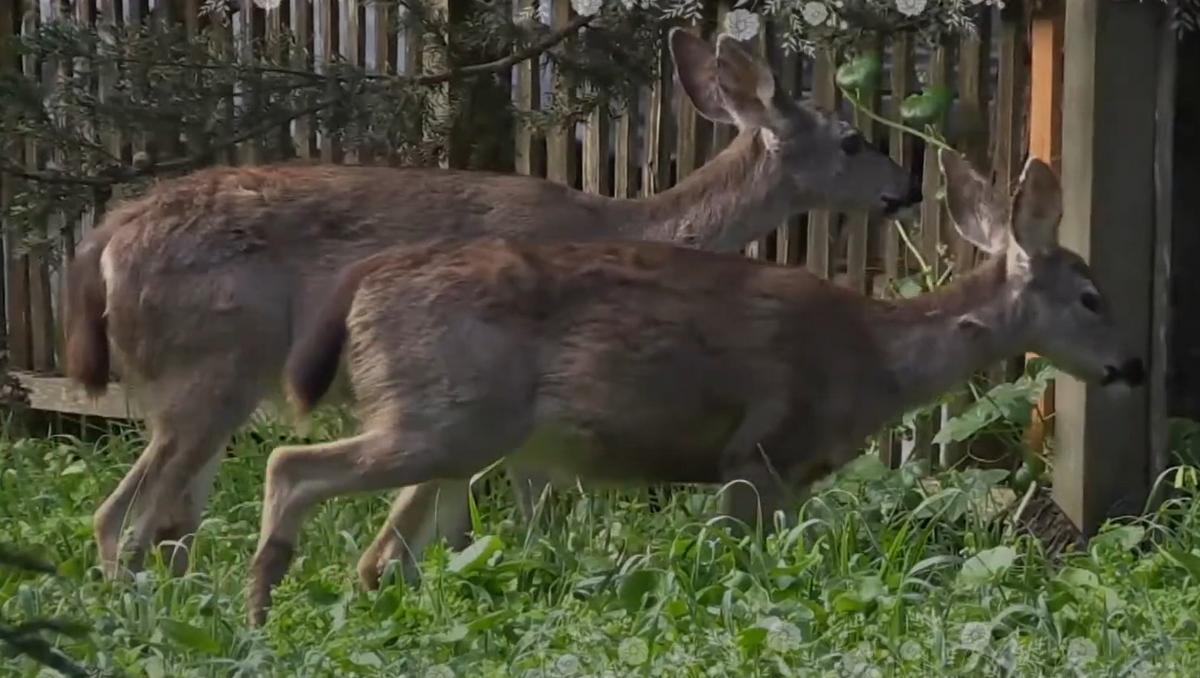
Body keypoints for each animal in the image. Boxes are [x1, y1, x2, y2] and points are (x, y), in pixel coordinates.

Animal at [63, 27, 916, 588]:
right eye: (852, 140)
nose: (905, 189)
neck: (623, 221)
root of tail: (99, 247)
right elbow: (528, 501)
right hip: (212, 364)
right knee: (118, 517)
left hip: (211, 383)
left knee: (167, 521)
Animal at [246, 150, 1142, 628]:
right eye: (1092, 297)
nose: (1131, 367)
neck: (876, 358)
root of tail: (362, 287)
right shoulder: (758, 455)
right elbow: (740, 573)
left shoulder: (788, 479)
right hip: (447, 420)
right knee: (290, 466)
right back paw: (256, 610)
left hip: (456, 431)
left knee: (377, 554)